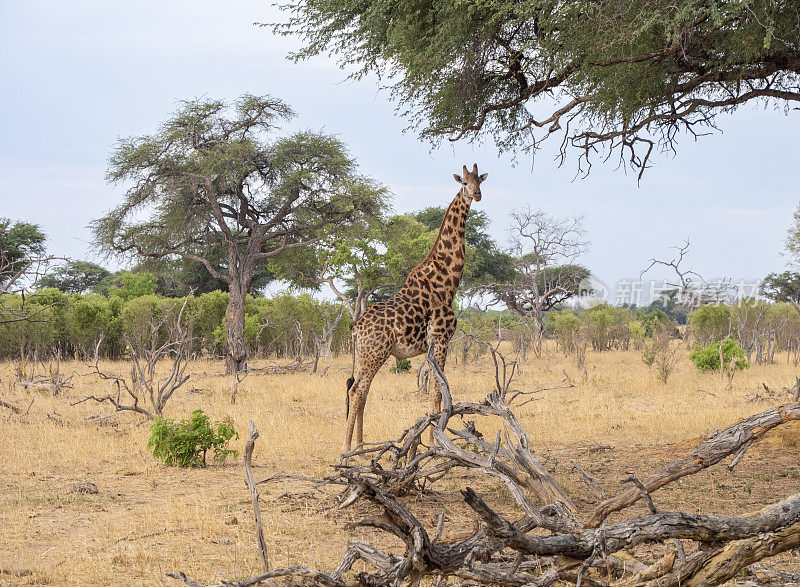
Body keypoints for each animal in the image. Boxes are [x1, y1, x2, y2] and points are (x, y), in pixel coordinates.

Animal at [340, 163, 484, 452]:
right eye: (463, 182)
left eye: (481, 180)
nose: (476, 194)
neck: (447, 282)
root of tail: (356, 328)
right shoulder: (440, 338)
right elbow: (438, 392)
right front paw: (435, 443)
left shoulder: (434, 344)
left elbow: (436, 390)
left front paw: (432, 441)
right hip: (375, 353)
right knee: (357, 390)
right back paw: (348, 449)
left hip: (364, 354)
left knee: (361, 390)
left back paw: (360, 445)